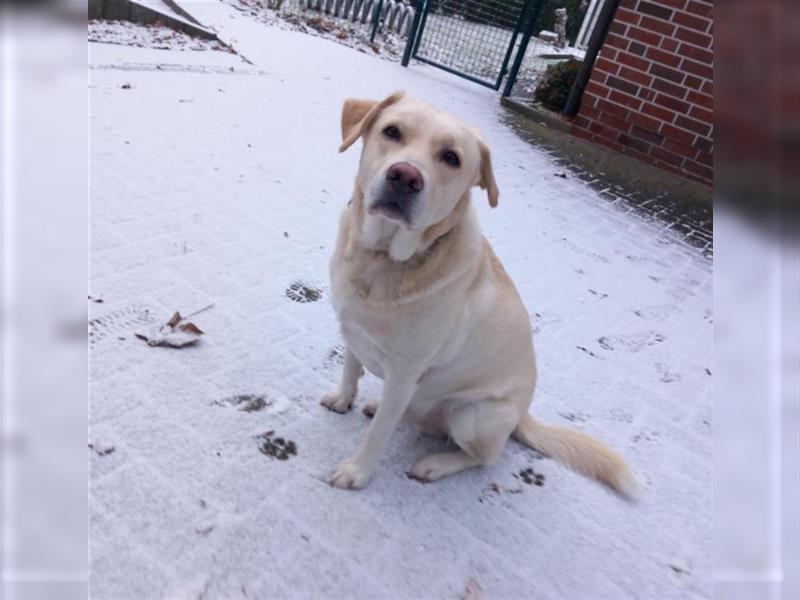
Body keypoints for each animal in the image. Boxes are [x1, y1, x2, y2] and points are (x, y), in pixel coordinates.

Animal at [322, 91, 636, 496]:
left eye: (451, 158)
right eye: (392, 131)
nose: (405, 176)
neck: (381, 258)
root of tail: (522, 414)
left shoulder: (406, 374)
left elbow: (378, 434)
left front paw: (357, 472)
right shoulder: (354, 331)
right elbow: (351, 367)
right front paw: (343, 398)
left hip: (474, 415)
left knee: (483, 457)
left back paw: (434, 465)